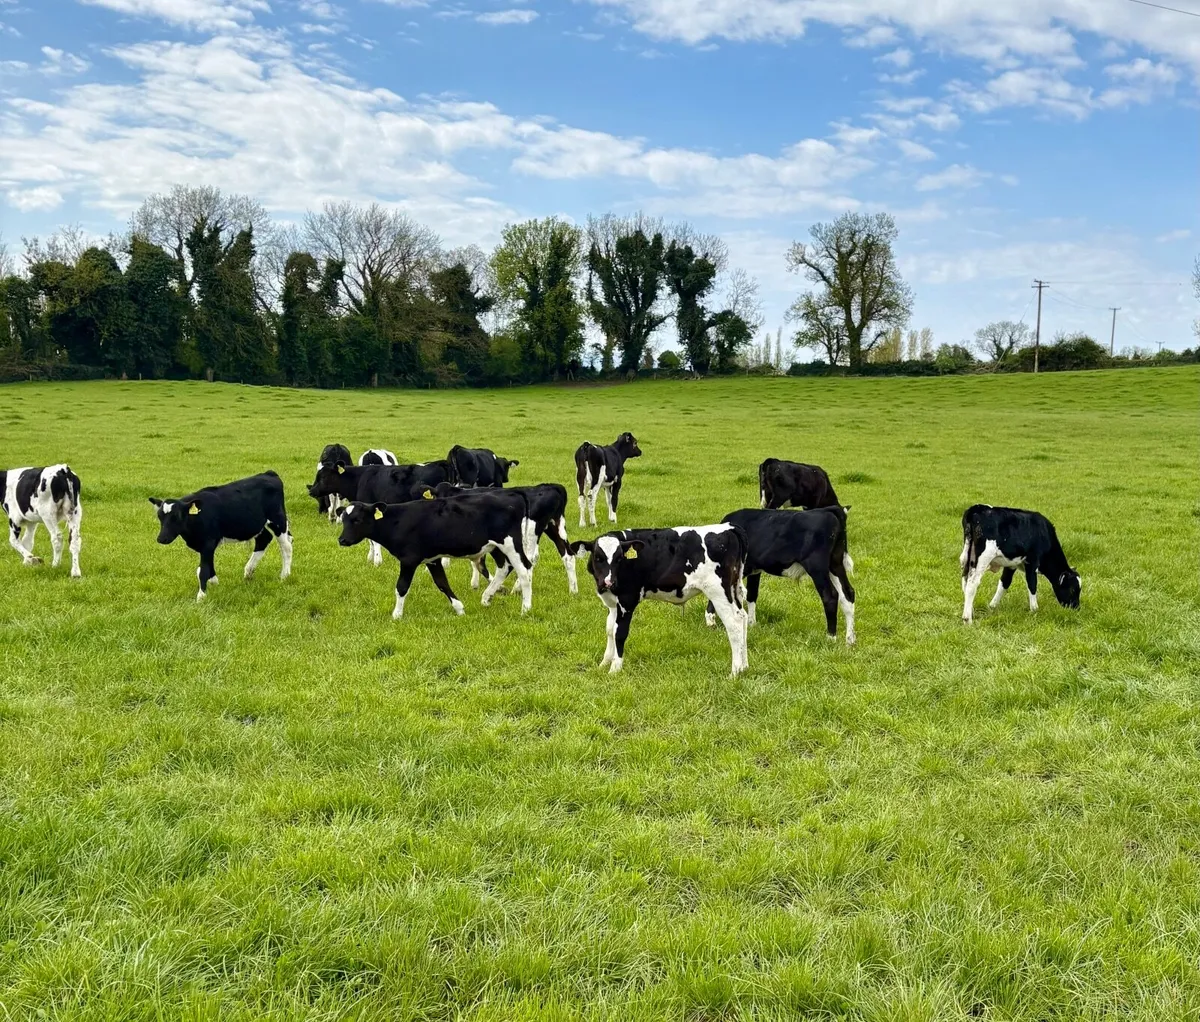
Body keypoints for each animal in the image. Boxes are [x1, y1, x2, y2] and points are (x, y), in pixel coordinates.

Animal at [148, 471, 292, 601]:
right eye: (159, 517)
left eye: (176, 517)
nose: (161, 539)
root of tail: (269, 473)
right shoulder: (205, 545)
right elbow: (207, 567)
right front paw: (214, 583)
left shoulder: (208, 542)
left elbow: (202, 570)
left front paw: (201, 597)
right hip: (257, 525)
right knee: (264, 539)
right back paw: (248, 572)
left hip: (278, 520)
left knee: (286, 546)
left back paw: (284, 576)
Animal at [309, 460, 451, 566]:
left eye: (323, 477)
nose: (311, 491)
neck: (359, 479)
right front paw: (371, 558)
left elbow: (373, 540)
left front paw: (376, 561)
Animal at [336, 490, 535, 619]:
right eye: (343, 519)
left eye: (357, 520)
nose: (342, 540)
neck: (397, 521)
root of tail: (513, 494)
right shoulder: (432, 560)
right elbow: (442, 583)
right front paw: (459, 609)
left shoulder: (409, 560)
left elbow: (401, 587)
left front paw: (396, 615)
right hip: (496, 547)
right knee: (504, 567)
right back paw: (487, 598)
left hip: (510, 544)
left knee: (524, 570)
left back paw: (525, 609)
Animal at [569, 525, 749, 676]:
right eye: (598, 558)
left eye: (619, 558)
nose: (609, 582)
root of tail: (729, 529)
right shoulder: (613, 603)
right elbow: (609, 630)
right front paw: (604, 663)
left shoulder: (628, 600)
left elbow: (619, 633)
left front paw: (615, 669)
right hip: (735, 589)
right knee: (742, 617)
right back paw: (744, 666)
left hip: (718, 591)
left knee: (733, 624)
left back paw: (734, 672)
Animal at [707, 507, 855, 644]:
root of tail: (827, 510)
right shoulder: (755, 570)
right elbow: (752, 594)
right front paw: (752, 624)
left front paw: (710, 622)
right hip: (835, 564)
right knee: (847, 593)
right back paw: (850, 640)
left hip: (816, 567)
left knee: (830, 596)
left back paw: (831, 638)